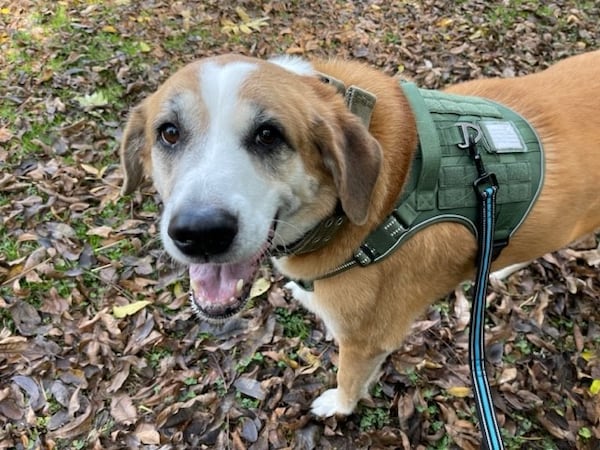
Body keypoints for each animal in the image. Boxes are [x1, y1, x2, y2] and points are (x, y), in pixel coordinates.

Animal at [119, 50, 600, 418]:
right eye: (169, 133)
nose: (200, 233)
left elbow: (349, 378)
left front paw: (339, 406)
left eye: (268, 135)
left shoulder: (365, 340)